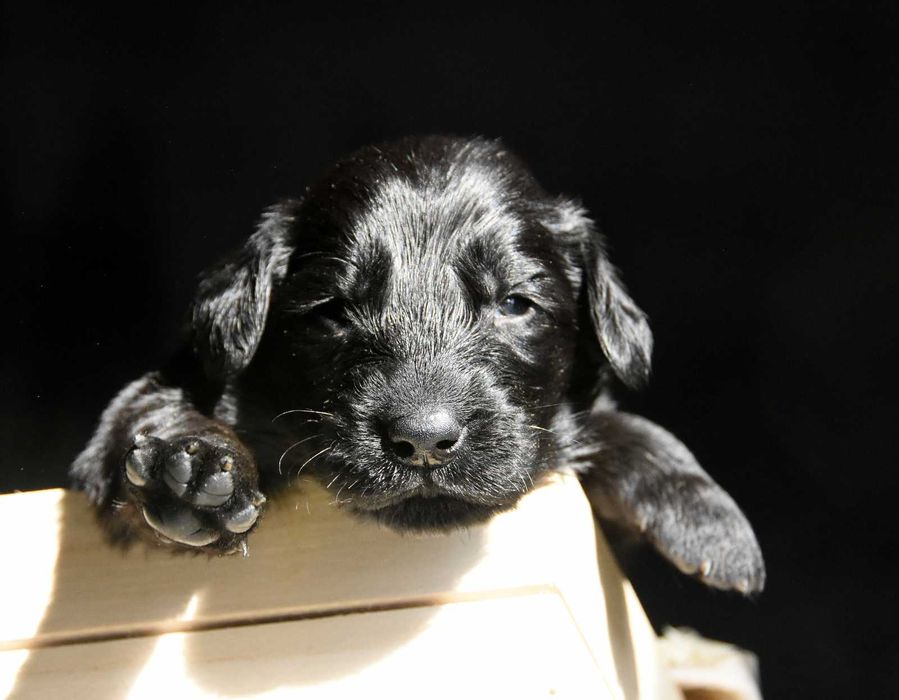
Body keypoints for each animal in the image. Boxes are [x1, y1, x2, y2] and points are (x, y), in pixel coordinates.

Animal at [71, 135, 765, 594]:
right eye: (333, 310)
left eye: (514, 303)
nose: (424, 442)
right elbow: (154, 415)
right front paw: (190, 471)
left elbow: (613, 427)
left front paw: (704, 512)